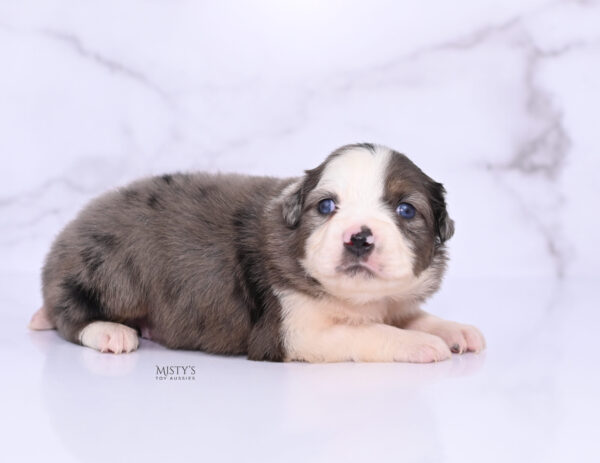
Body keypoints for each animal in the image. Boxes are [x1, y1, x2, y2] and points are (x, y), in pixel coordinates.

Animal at [30, 144, 486, 362]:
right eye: (326, 206)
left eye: (406, 210)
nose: (359, 238)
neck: (358, 300)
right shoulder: (292, 330)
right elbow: (369, 332)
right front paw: (422, 344)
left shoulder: (393, 299)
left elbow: (411, 316)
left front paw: (453, 330)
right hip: (108, 269)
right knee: (70, 316)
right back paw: (110, 332)